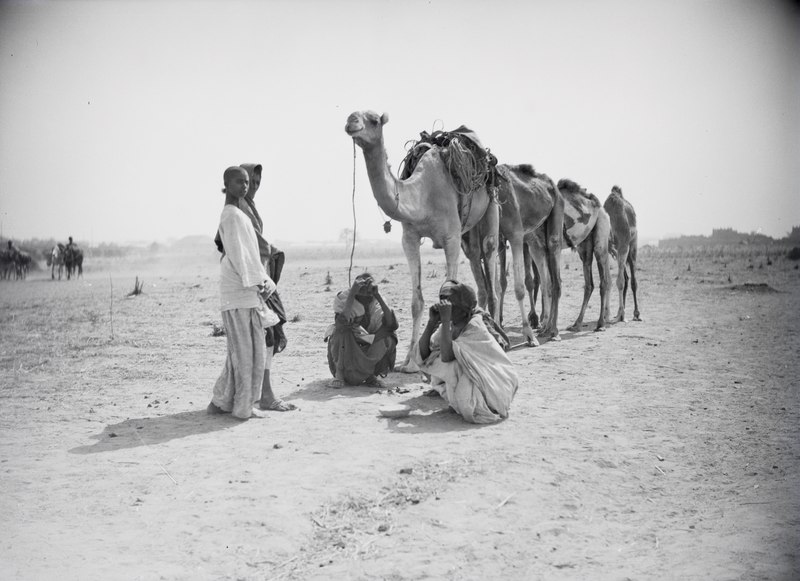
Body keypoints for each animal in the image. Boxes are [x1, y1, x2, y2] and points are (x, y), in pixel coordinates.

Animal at [346, 110, 500, 372]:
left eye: (374, 120)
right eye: (353, 115)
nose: (351, 121)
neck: (423, 196)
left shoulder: (451, 237)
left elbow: (450, 288)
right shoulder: (409, 238)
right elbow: (416, 301)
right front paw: (410, 361)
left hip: (492, 206)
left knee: (491, 261)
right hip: (469, 235)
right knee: (477, 267)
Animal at [604, 186, 640, 322]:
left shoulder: (624, 245)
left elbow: (620, 282)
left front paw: (621, 313)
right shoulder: (608, 249)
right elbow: (608, 280)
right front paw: (606, 314)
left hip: (632, 246)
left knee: (632, 280)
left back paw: (636, 313)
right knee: (626, 277)